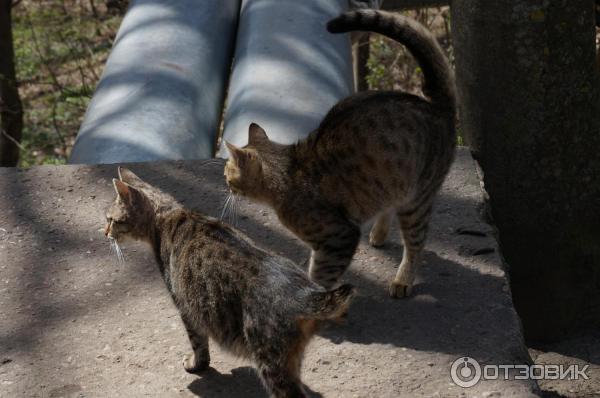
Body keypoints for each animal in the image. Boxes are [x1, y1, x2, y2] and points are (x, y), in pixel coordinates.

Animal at [105, 167, 354, 398]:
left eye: (110, 219)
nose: (105, 232)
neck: (166, 215)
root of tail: (306, 293)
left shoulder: (186, 308)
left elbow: (199, 344)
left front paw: (196, 365)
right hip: (291, 358)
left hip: (271, 363)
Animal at [224, 8, 454, 298]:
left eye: (227, 174)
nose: (225, 185)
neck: (287, 173)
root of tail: (437, 107)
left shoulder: (338, 237)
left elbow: (321, 275)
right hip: (395, 186)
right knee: (390, 208)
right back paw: (379, 234)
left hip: (417, 201)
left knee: (416, 244)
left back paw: (402, 279)